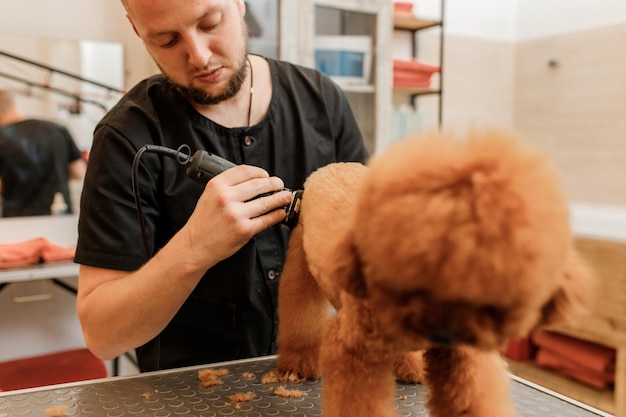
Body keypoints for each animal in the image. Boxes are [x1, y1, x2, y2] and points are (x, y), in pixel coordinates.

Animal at [276, 129, 592, 416]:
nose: (446, 331)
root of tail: (331, 167)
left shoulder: (464, 357)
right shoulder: (353, 351)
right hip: (300, 268)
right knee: (300, 314)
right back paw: (299, 364)